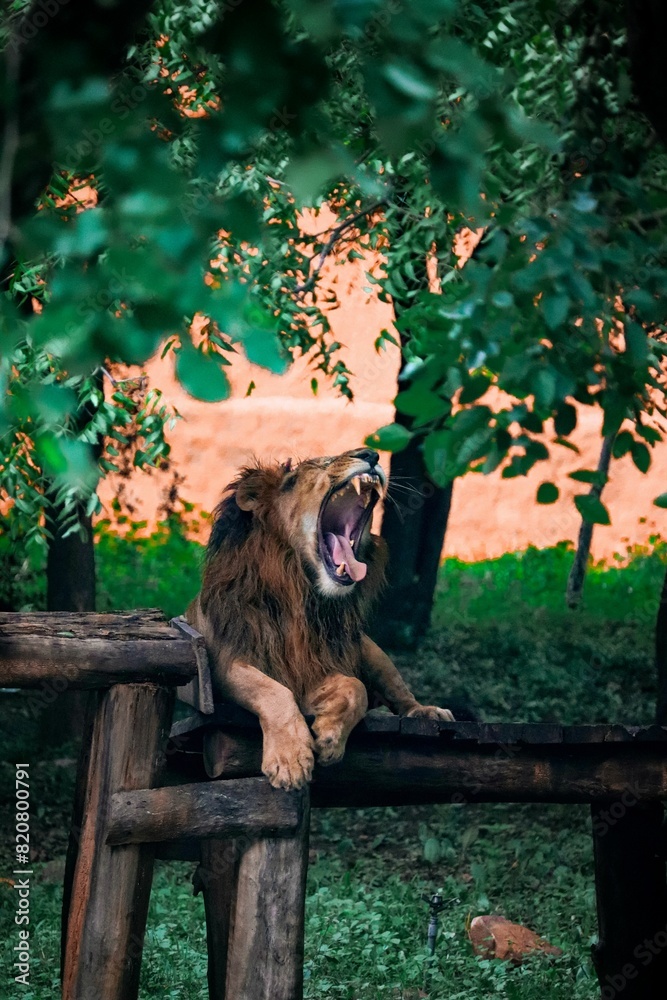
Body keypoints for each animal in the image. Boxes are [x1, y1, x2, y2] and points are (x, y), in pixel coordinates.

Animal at [186, 447, 453, 790]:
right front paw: (290, 761)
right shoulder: (227, 662)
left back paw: (428, 712)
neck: (300, 596)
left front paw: (329, 737)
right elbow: (273, 692)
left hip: (371, 651)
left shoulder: (317, 668)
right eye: (309, 470)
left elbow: (355, 687)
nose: (370, 453)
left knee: (399, 692)